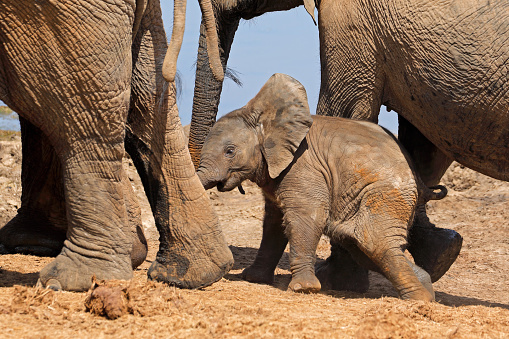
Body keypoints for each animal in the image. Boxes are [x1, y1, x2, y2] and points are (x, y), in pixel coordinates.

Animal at [197, 74, 444, 302]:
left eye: (230, 151)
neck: (268, 122)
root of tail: (418, 179)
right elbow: (274, 223)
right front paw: (253, 278)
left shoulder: (303, 167)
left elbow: (305, 217)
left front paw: (303, 289)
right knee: (366, 249)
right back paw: (426, 291)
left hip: (385, 195)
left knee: (376, 244)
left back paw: (418, 300)